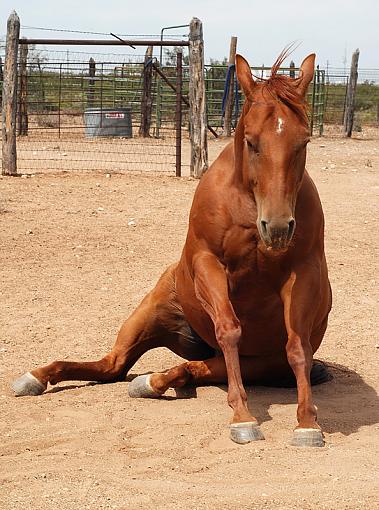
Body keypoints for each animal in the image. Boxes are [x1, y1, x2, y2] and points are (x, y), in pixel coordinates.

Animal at [11, 51, 332, 448]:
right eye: (252, 141)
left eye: (303, 142)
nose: (276, 227)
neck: (245, 201)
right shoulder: (208, 263)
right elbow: (229, 329)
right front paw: (243, 417)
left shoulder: (302, 272)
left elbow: (298, 346)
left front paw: (307, 423)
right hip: (147, 318)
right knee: (112, 365)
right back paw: (38, 376)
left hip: (256, 363)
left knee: (186, 368)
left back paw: (152, 381)